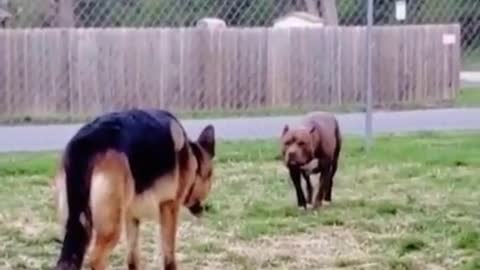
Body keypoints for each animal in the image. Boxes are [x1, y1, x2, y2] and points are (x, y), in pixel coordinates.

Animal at [51, 108, 215, 270]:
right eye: (210, 176)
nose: (206, 208)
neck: (192, 156)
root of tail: (85, 144)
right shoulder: (169, 207)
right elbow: (169, 257)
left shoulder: (131, 216)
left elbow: (132, 259)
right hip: (110, 228)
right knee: (96, 259)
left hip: (74, 225)